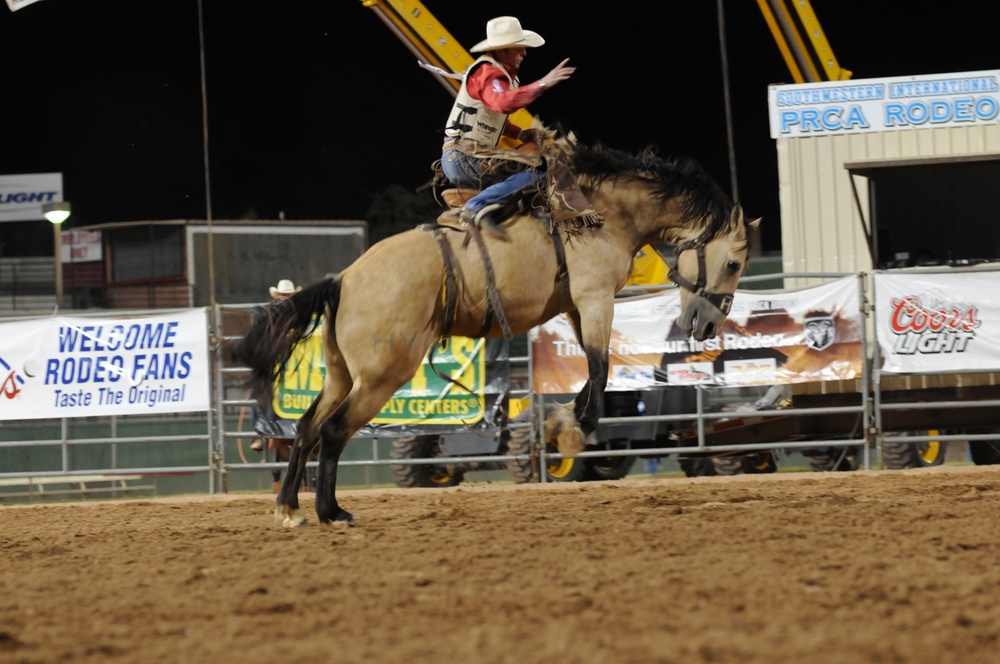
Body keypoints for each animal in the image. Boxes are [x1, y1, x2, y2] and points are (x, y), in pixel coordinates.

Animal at [234, 141, 760, 528]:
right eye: (734, 263)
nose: (708, 325)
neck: (606, 212)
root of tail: (345, 279)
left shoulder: (575, 305)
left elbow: (592, 371)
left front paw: (560, 422)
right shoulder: (594, 299)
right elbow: (599, 367)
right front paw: (573, 432)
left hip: (342, 373)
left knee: (306, 426)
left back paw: (290, 509)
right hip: (380, 377)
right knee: (334, 429)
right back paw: (332, 512)